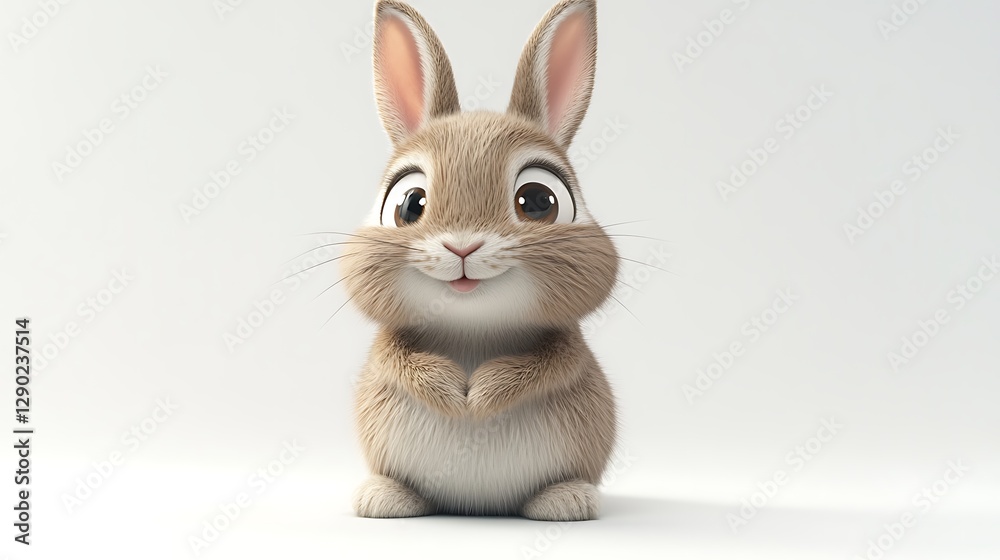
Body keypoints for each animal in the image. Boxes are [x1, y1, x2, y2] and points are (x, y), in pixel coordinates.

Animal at [343, 0, 618, 521]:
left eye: (539, 201)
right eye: (409, 204)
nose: (463, 247)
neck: (474, 327)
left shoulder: (567, 349)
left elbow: (552, 364)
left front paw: (484, 393)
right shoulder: (390, 350)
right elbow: (398, 360)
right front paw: (454, 392)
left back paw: (566, 499)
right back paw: (385, 497)